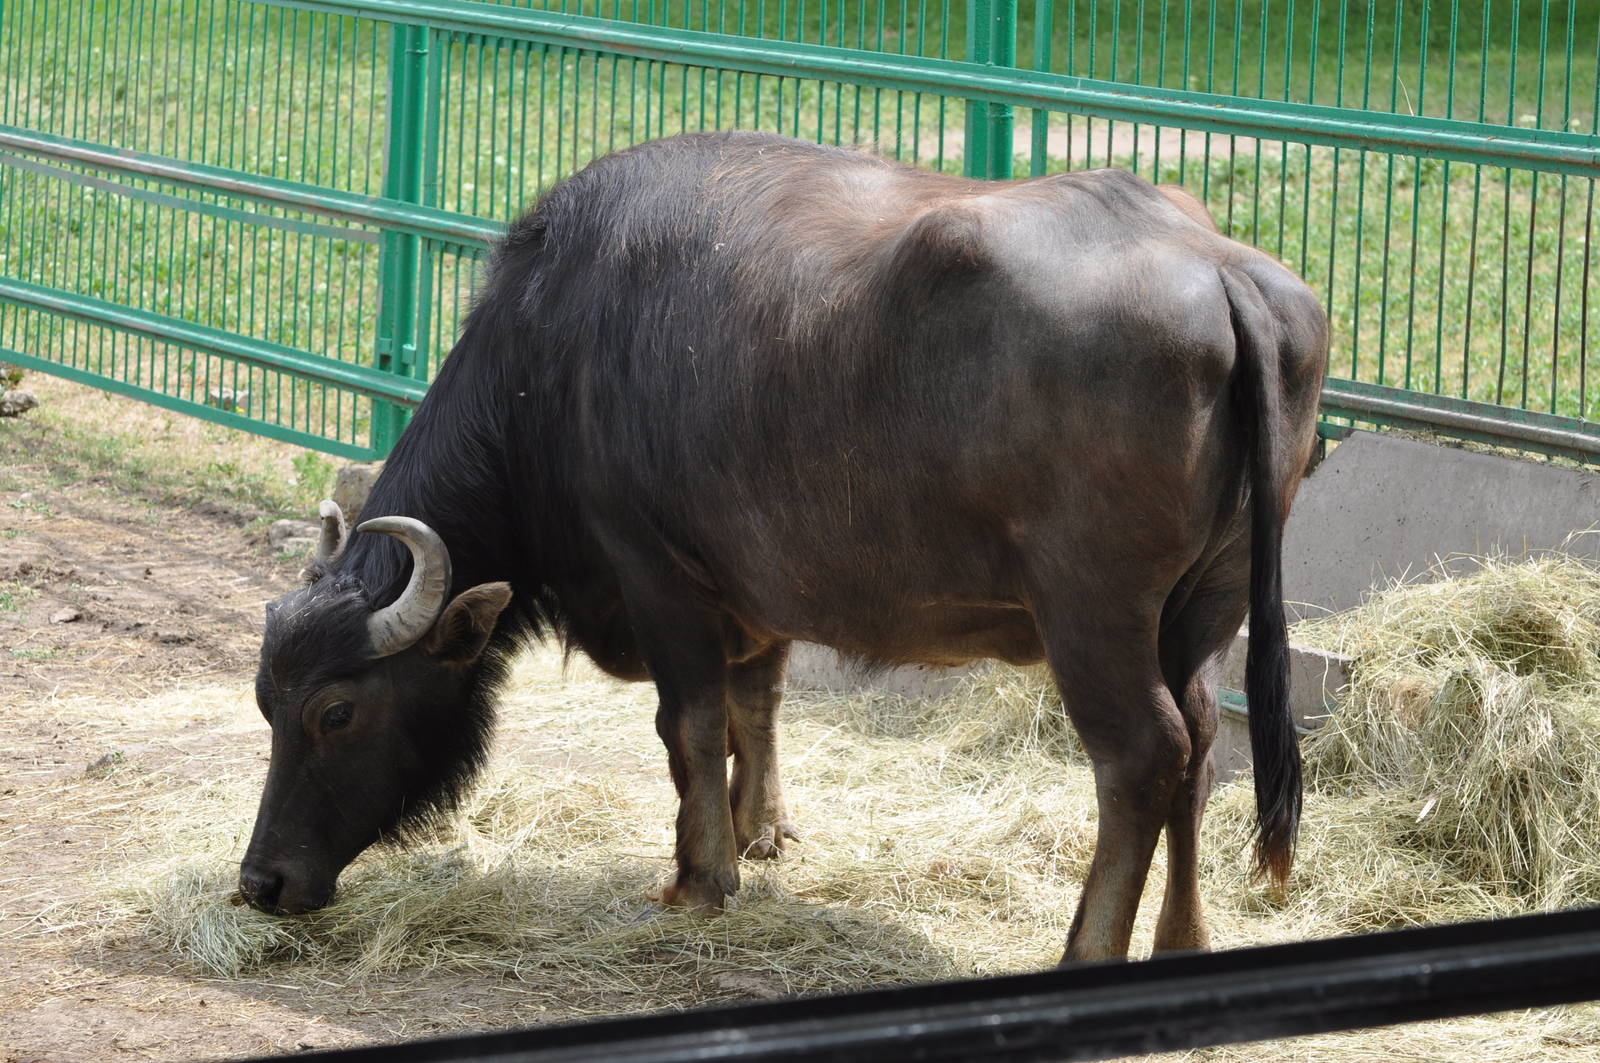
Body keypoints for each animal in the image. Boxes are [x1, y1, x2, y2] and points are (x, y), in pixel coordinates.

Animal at [240, 130, 1327, 964]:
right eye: (266, 704)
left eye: (336, 712)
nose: (263, 879)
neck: (550, 361)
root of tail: (1222, 271)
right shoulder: (756, 591)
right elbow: (753, 706)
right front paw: (758, 830)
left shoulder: (656, 573)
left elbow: (687, 722)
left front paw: (698, 874)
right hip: (1205, 609)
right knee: (1201, 744)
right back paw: (1182, 937)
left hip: (1091, 612)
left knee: (1143, 755)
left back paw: (1085, 949)